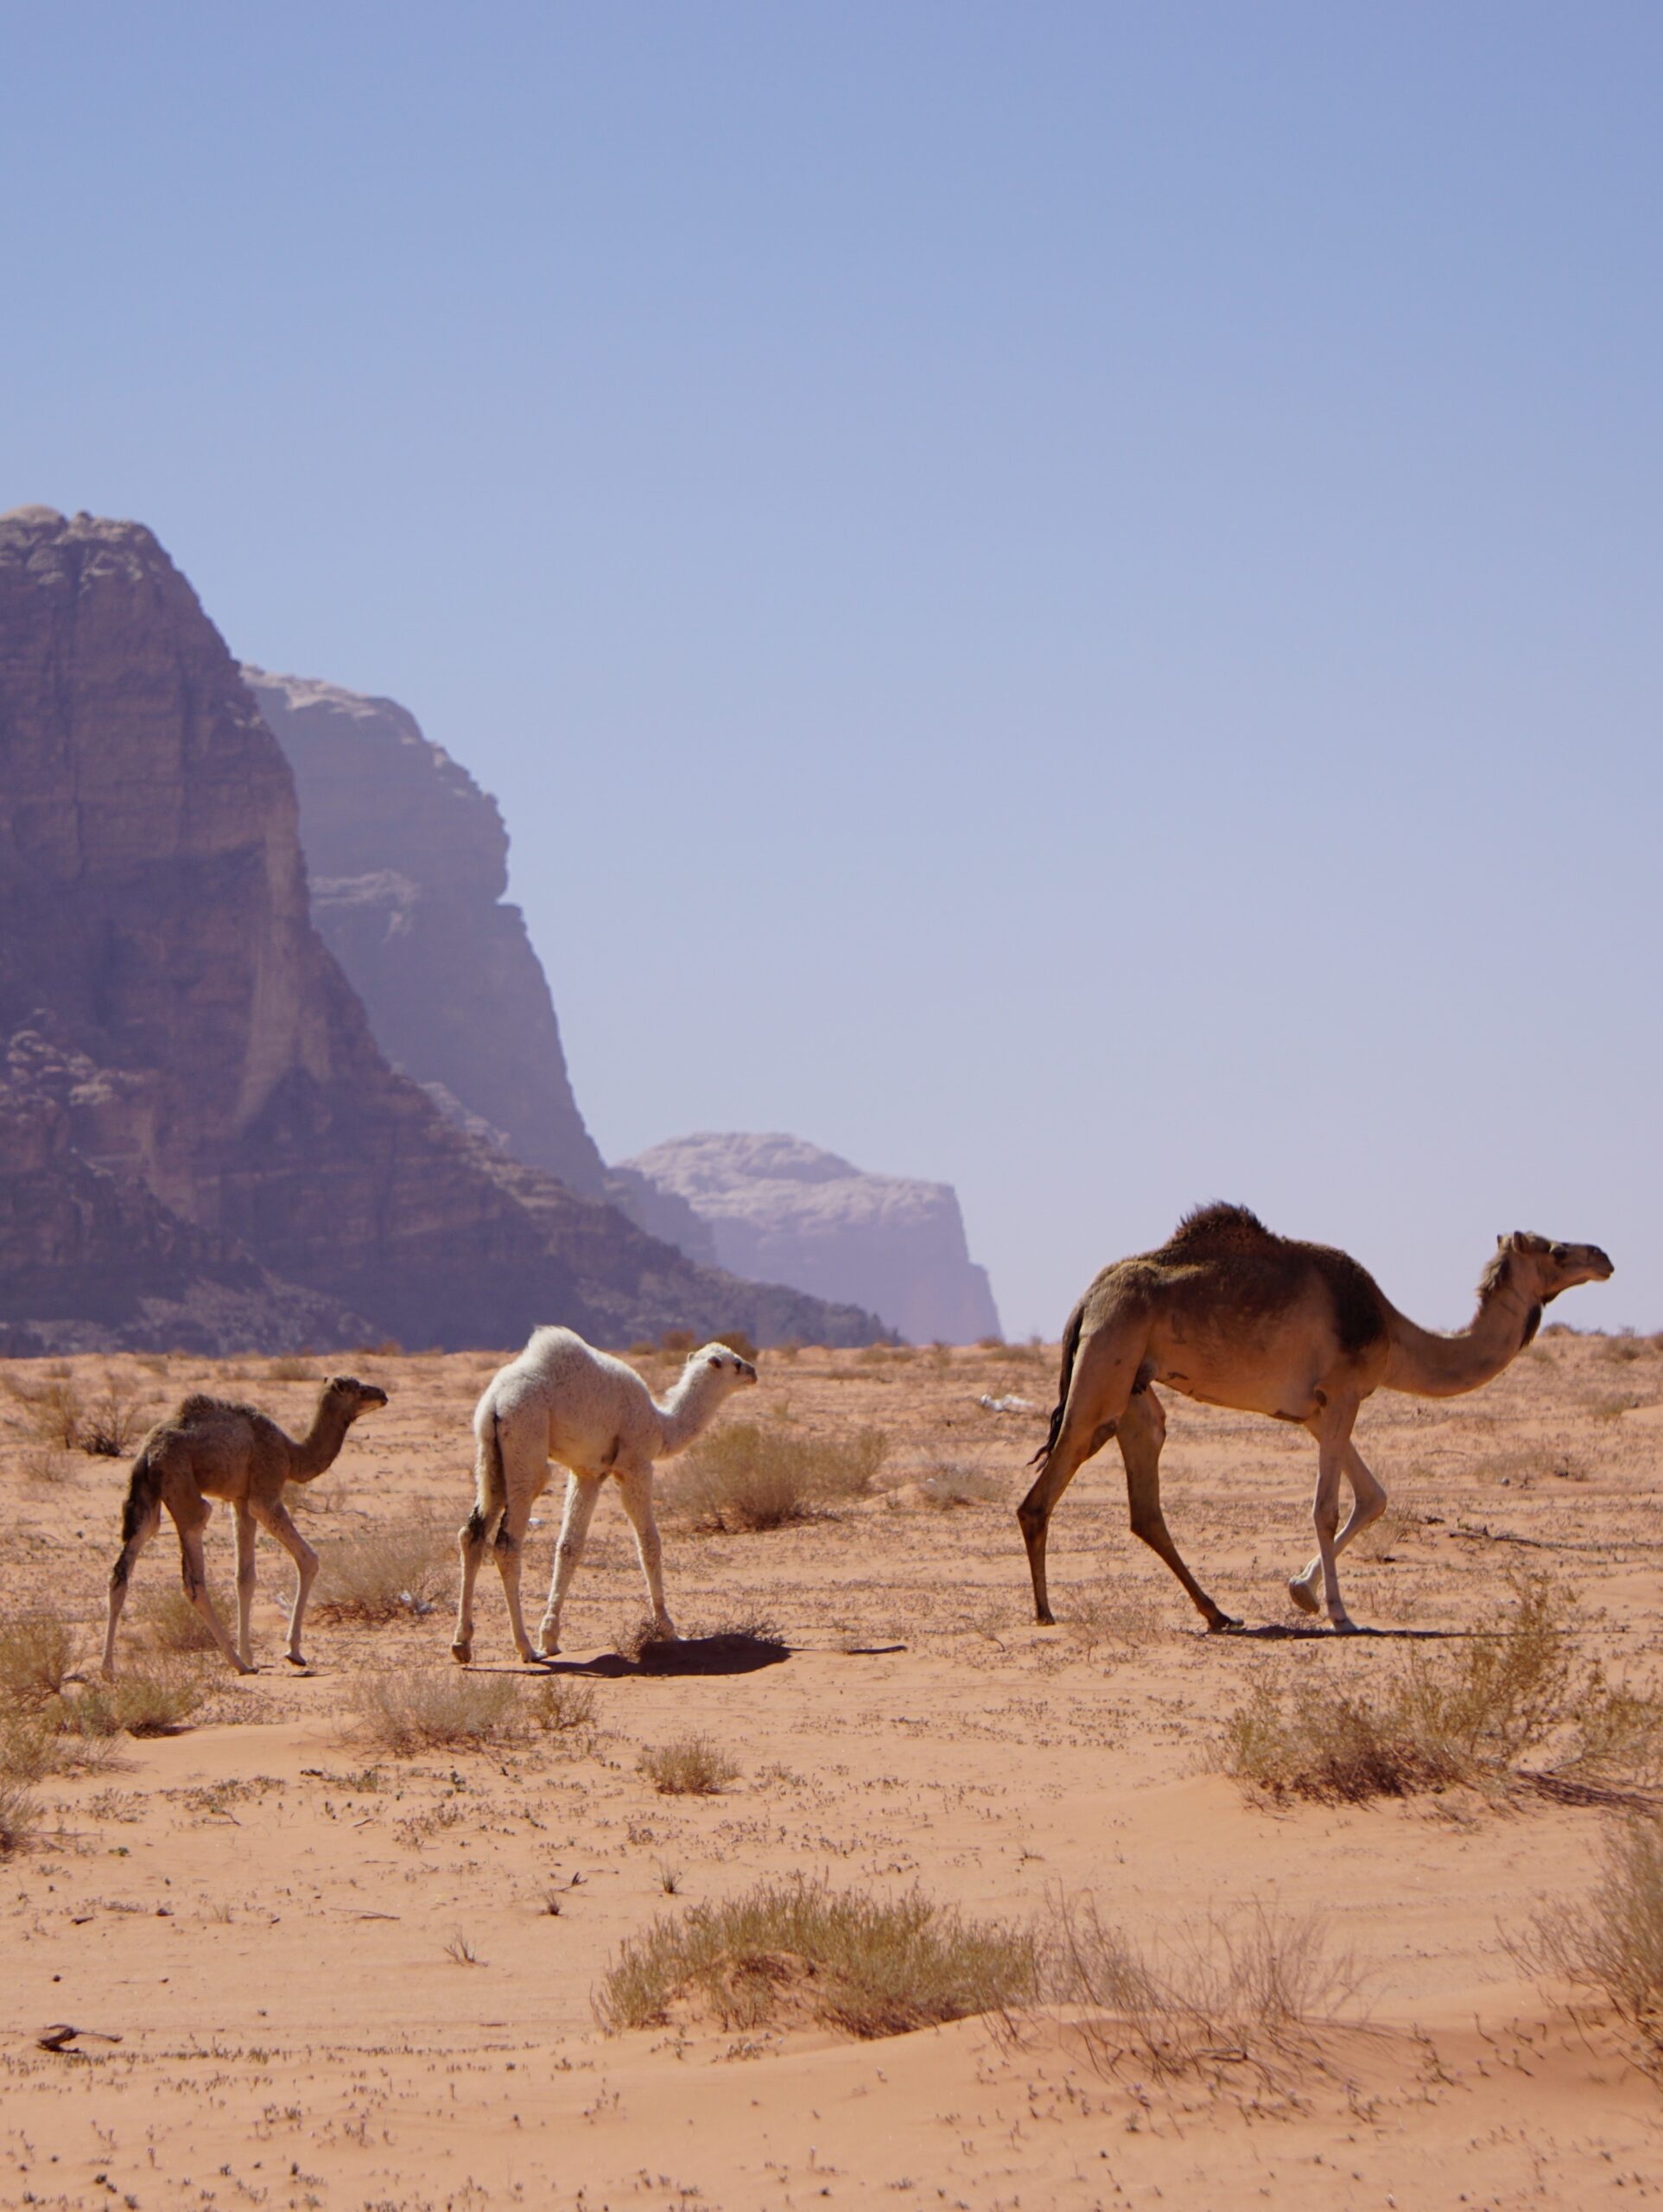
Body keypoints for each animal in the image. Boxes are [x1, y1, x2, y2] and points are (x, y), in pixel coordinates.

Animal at [101, 1376, 388, 1677]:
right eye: (357, 1388)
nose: (382, 1394)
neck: (292, 1454)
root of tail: (147, 1454)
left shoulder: (240, 1501)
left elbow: (245, 1577)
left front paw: (251, 1654)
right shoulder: (265, 1492)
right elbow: (308, 1558)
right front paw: (293, 1653)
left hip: (145, 1498)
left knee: (122, 1571)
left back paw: (107, 1668)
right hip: (181, 1486)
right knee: (193, 1575)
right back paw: (237, 1663)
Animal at [452, 1328, 758, 1666]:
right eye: (735, 1363)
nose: (753, 1372)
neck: (662, 1426)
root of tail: (496, 1402)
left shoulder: (588, 1472)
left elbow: (569, 1546)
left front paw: (551, 1637)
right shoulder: (635, 1464)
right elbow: (649, 1544)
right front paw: (669, 1629)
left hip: (489, 1457)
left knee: (472, 1534)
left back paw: (462, 1644)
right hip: (525, 1443)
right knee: (507, 1543)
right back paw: (526, 1648)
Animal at [1019, 1206, 1612, 1635]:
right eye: (1558, 1250)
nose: (1604, 1256)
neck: (1394, 1334)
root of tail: (1087, 1299)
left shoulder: (1316, 1411)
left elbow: (1373, 1497)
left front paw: (1300, 1591)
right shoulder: (1345, 1392)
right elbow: (1326, 1509)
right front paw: (1339, 1612)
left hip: (1135, 1389)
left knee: (1145, 1503)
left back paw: (1219, 1614)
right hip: (1107, 1361)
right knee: (1045, 1489)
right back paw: (1046, 1612)